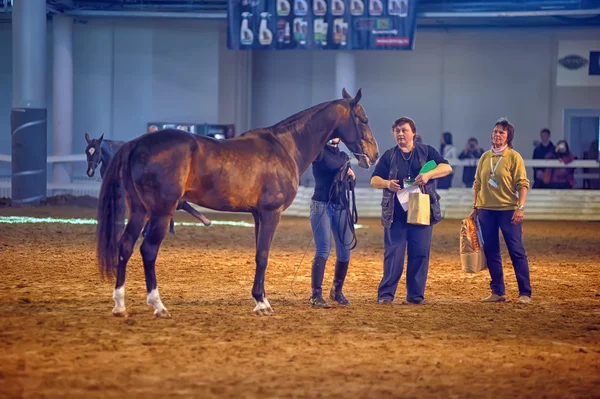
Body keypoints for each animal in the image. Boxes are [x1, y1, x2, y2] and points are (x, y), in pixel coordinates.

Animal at [98, 88, 380, 318]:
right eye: (364, 119)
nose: (374, 154)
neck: (286, 147)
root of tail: (138, 143)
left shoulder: (257, 215)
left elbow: (258, 254)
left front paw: (259, 299)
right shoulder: (271, 213)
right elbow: (263, 255)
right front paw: (263, 304)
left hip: (139, 210)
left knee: (125, 246)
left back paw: (120, 305)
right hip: (161, 212)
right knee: (148, 250)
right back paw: (158, 305)